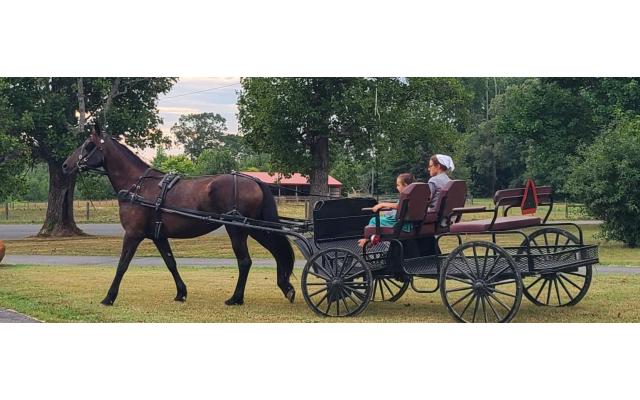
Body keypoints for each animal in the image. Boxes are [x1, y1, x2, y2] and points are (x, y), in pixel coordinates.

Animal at [62, 128, 296, 307]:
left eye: (88, 145)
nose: (65, 165)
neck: (137, 185)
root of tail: (254, 180)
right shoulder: (158, 236)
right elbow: (170, 263)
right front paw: (181, 292)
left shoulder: (133, 234)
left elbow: (122, 265)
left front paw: (109, 298)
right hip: (255, 228)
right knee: (277, 252)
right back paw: (285, 287)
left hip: (238, 229)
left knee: (245, 261)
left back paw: (236, 298)